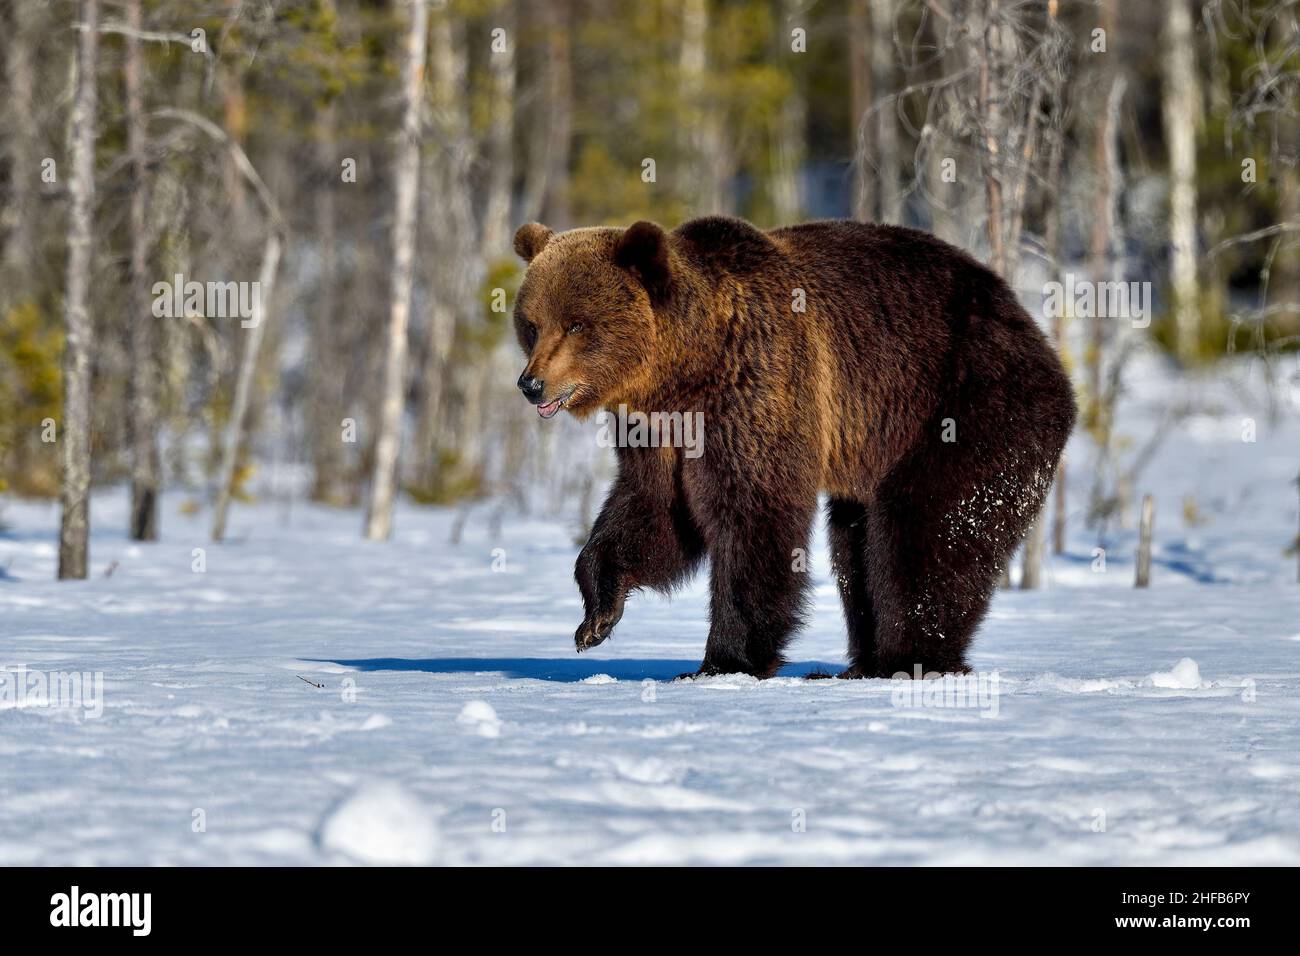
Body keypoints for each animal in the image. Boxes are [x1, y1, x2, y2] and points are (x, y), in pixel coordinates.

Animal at [512, 217, 1071, 681]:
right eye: (532, 323)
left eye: (577, 323)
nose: (531, 384)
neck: (684, 372)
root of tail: (1033, 333)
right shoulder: (658, 432)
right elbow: (655, 511)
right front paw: (596, 617)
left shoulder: (757, 386)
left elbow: (754, 518)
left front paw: (723, 661)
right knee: (855, 544)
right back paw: (858, 666)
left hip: (964, 403)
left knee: (930, 528)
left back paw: (906, 660)